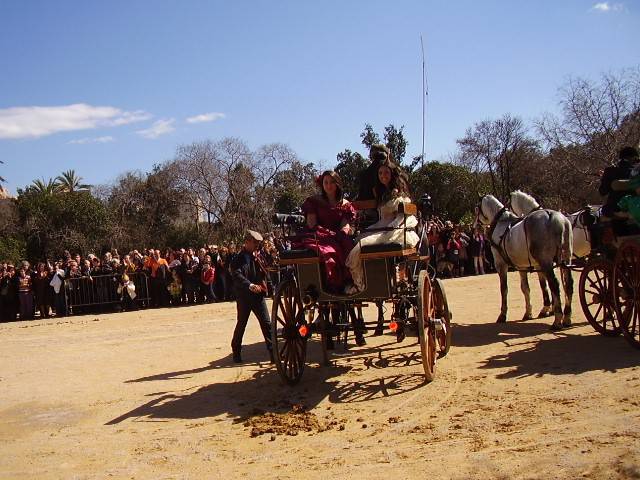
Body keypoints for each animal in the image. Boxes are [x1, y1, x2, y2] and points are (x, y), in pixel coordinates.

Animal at [476, 195, 576, 330]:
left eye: (477, 208)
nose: (476, 226)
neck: (501, 222)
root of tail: (555, 218)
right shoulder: (522, 266)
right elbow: (526, 288)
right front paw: (529, 312)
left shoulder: (500, 264)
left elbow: (504, 289)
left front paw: (503, 314)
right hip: (566, 259)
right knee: (568, 284)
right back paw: (566, 317)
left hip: (546, 262)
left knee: (555, 285)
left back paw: (557, 320)